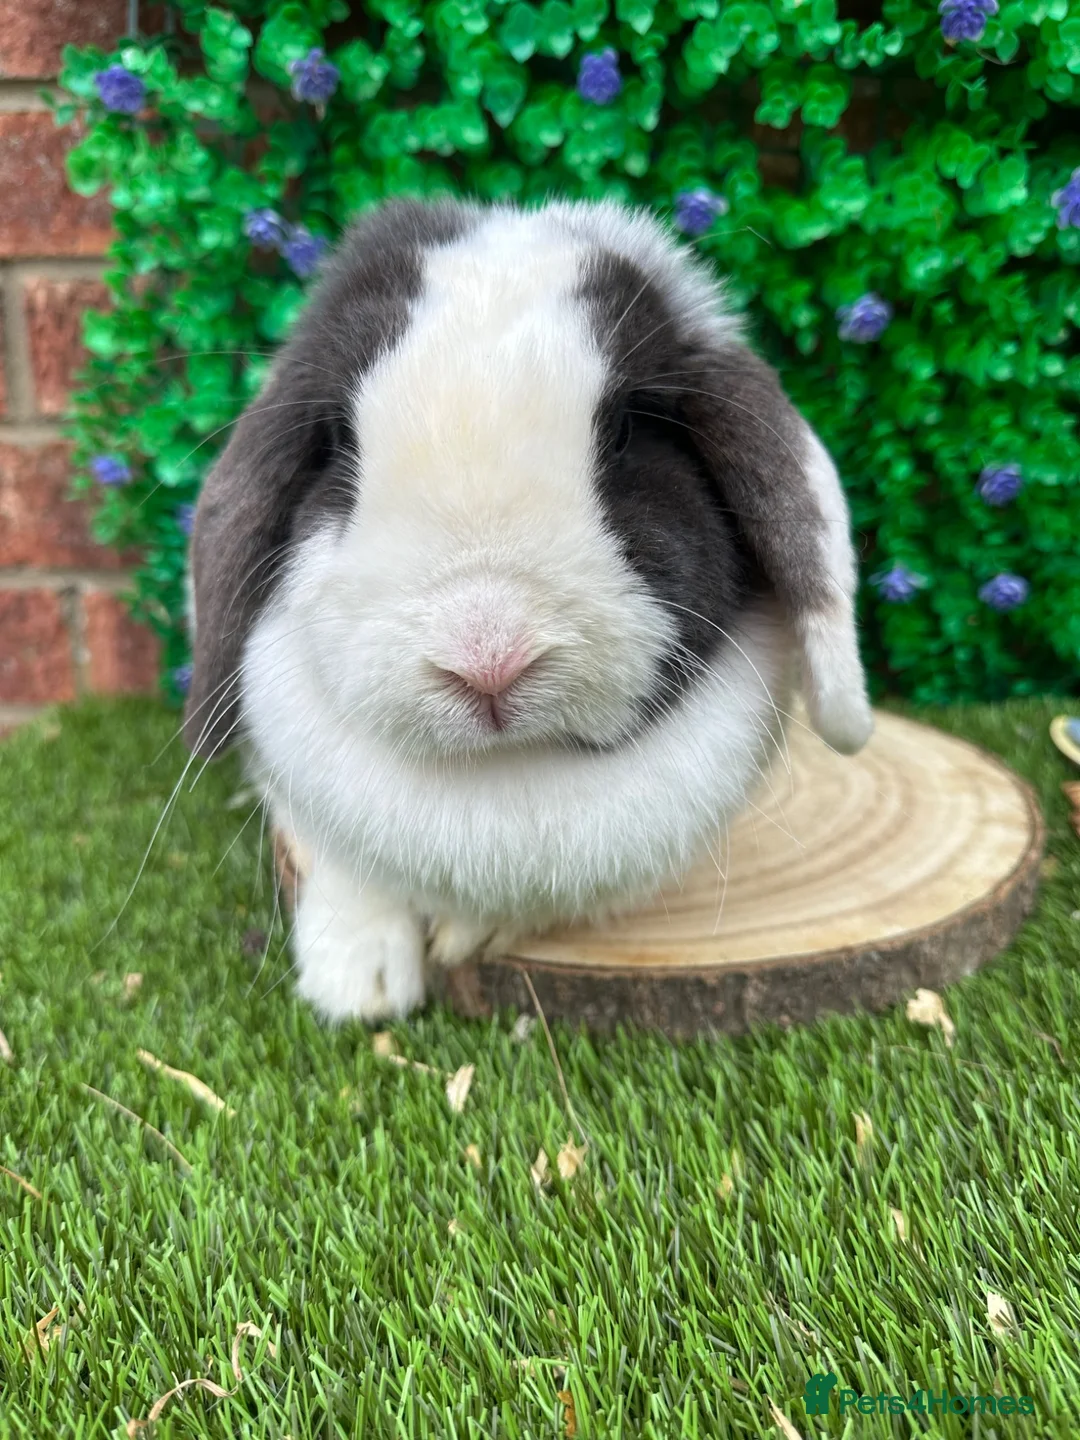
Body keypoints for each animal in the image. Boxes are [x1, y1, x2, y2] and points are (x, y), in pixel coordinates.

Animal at [183, 196, 873, 1023]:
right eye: (342, 442)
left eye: (626, 431)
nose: (489, 660)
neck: (503, 781)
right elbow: (344, 866)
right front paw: (358, 986)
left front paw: (461, 935)